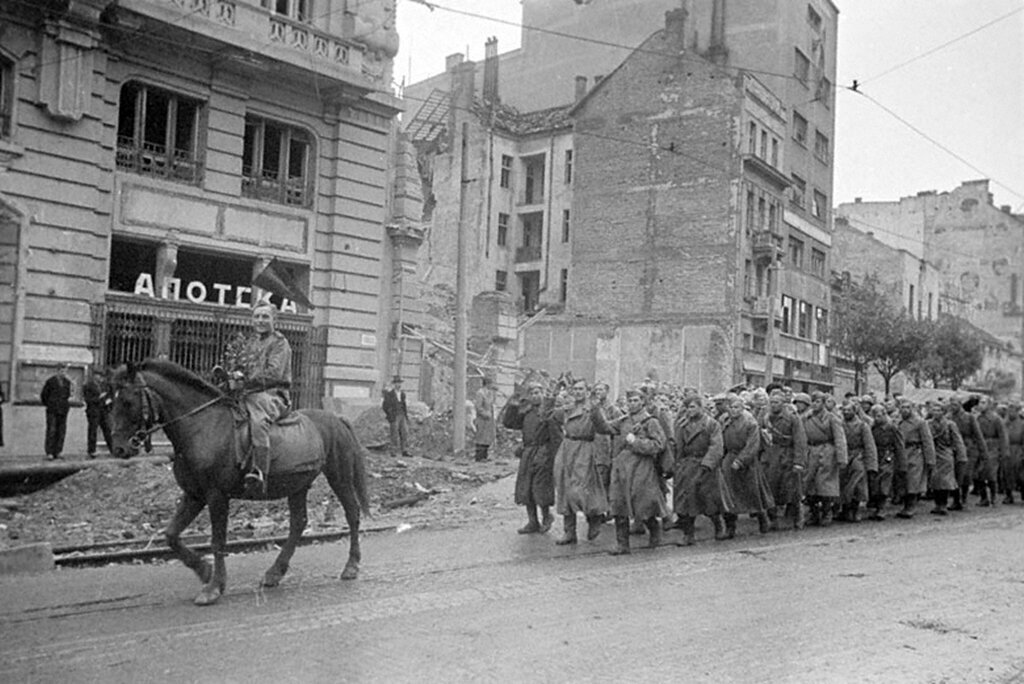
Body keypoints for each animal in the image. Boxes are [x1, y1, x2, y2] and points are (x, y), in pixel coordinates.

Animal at [108, 358, 370, 602]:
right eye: (111, 401)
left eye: (128, 401)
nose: (119, 448)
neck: (202, 426)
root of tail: (337, 418)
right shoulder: (193, 495)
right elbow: (171, 535)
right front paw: (204, 571)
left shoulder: (216, 496)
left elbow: (217, 541)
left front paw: (213, 587)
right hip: (298, 485)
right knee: (298, 523)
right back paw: (274, 573)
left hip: (339, 476)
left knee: (352, 513)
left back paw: (351, 566)